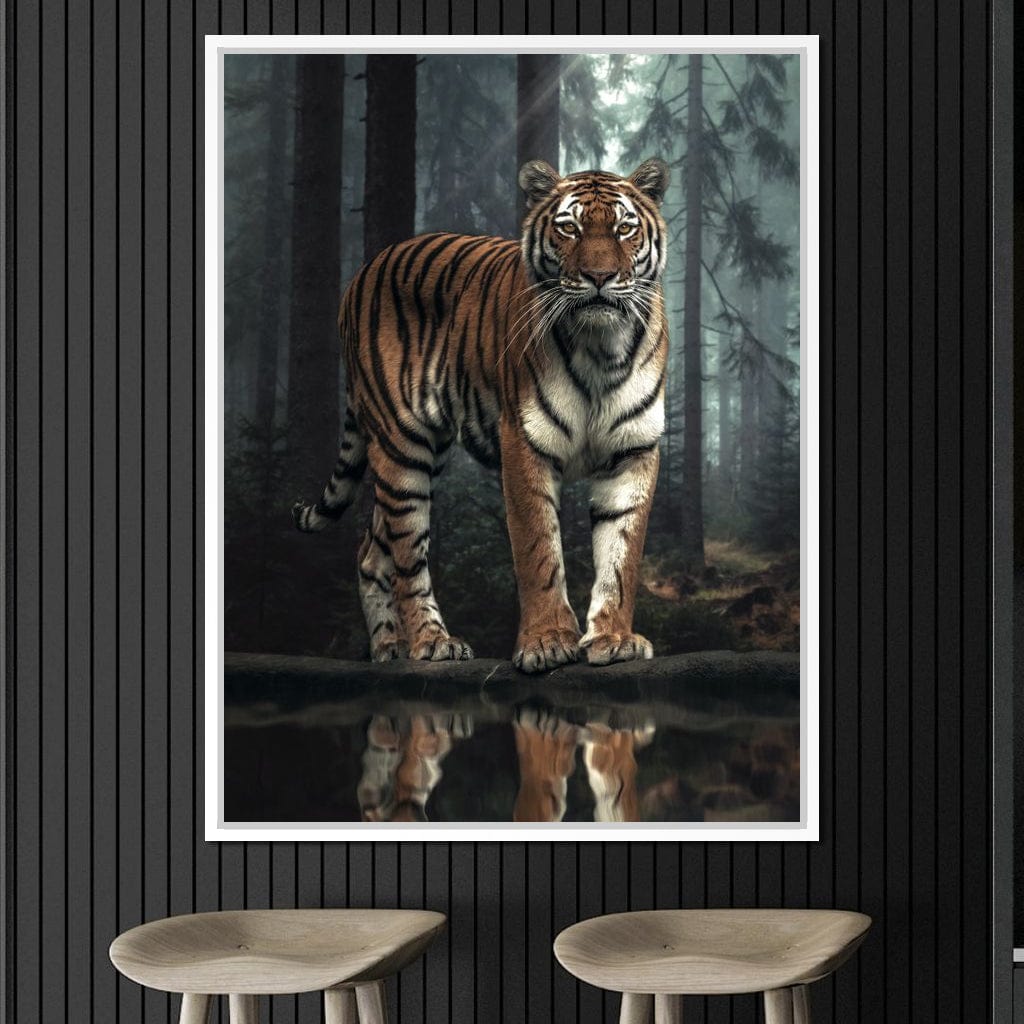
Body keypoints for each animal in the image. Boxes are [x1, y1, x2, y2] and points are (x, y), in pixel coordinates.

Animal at [292, 158, 670, 673]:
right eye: (568, 228)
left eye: (624, 228)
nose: (599, 276)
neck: (601, 347)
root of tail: (364, 269)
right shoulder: (524, 441)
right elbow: (538, 549)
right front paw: (547, 643)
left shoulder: (633, 450)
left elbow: (621, 555)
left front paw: (613, 639)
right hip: (401, 447)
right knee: (407, 555)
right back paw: (431, 643)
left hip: (423, 453)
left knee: (372, 549)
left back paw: (388, 649)